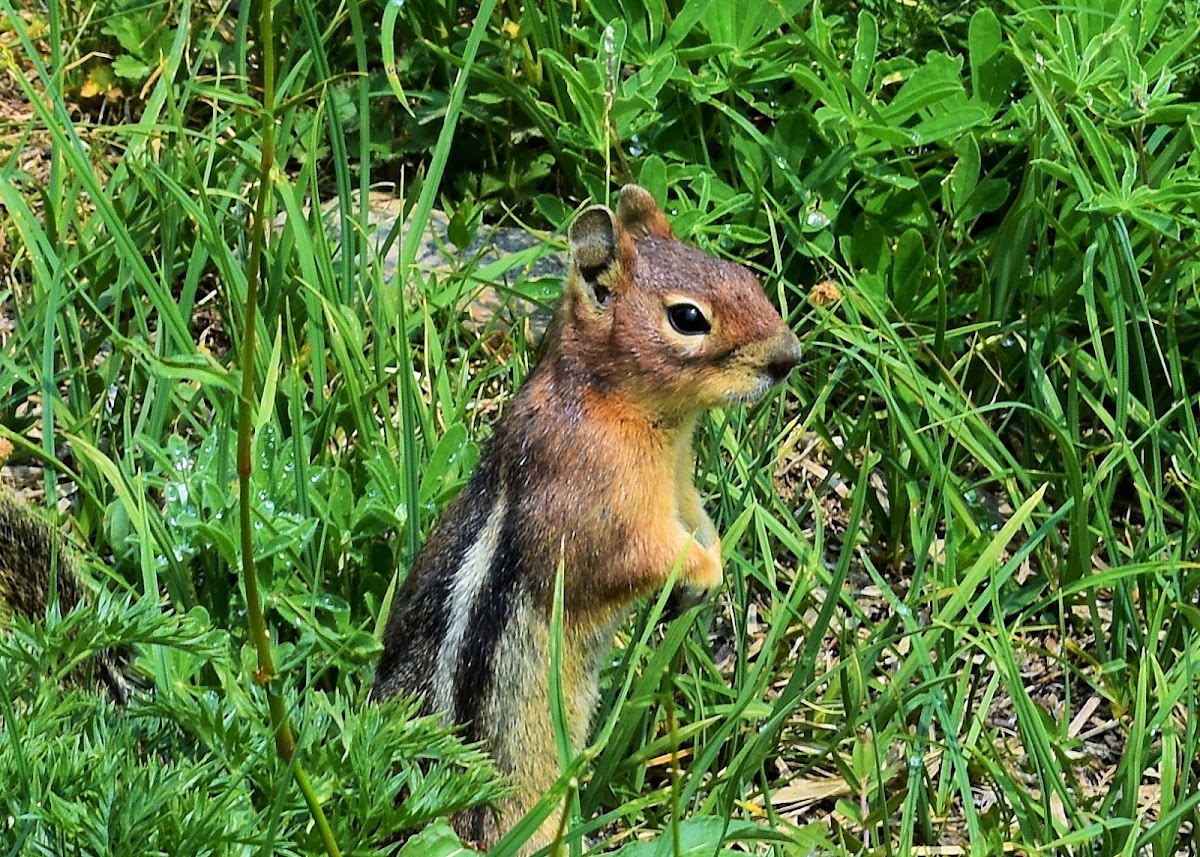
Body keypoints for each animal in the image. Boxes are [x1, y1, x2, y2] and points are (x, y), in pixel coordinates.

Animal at [369, 184, 801, 849]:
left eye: (743, 276)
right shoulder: (594, 500)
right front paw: (700, 572)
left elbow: (698, 522)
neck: (616, 401)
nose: (789, 358)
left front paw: (712, 567)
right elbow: (630, 558)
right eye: (688, 318)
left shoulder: (679, 488)